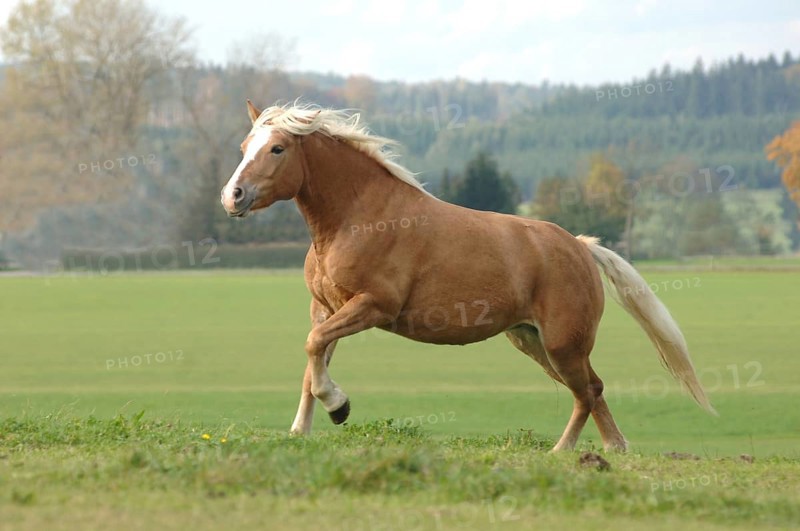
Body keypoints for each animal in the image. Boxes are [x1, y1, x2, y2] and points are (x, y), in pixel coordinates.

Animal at [220, 101, 715, 452]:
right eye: (244, 148)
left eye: (278, 148)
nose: (233, 196)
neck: (357, 219)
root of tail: (580, 246)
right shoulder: (326, 308)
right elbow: (313, 358)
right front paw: (301, 430)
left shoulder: (373, 306)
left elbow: (313, 350)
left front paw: (339, 408)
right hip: (534, 341)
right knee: (593, 389)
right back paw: (614, 448)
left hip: (562, 343)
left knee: (586, 391)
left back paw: (562, 452)